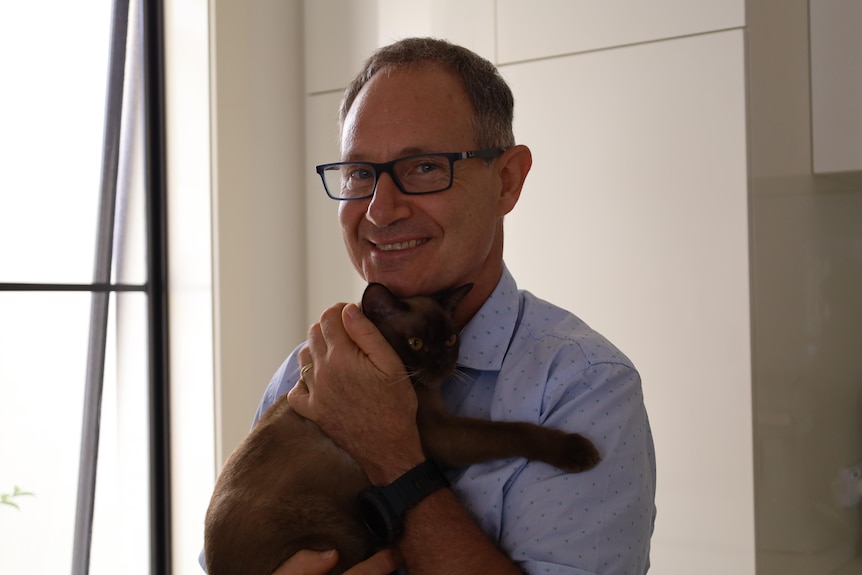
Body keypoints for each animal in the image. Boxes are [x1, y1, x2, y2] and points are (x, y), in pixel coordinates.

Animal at [208, 284, 600, 575]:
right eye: (415, 343)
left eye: (450, 340)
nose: (442, 365)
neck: (422, 387)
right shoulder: (440, 435)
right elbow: (513, 430)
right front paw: (579, 451)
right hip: (332, 530)